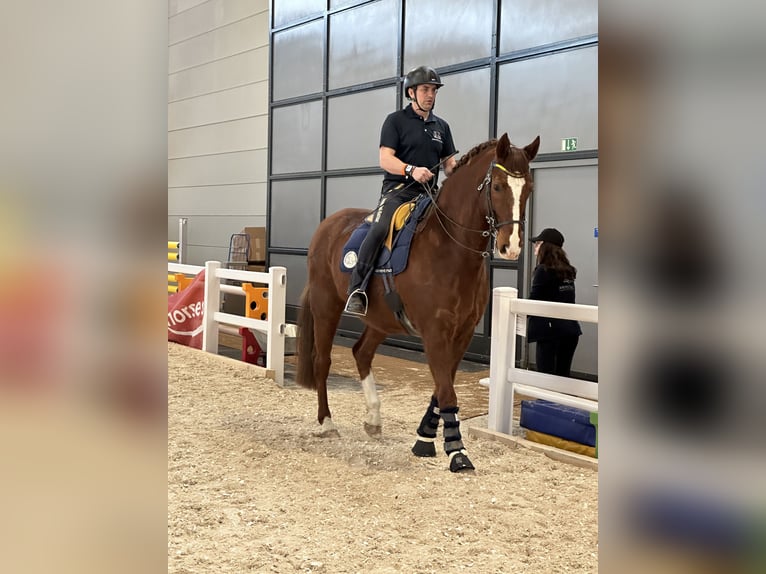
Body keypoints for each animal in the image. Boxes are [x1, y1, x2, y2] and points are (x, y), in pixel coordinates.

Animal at [295, 133, 540, 472]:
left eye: (528, 187)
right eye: (498, 187)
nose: (511, 247)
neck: (449, 247)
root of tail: (328, 224)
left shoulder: (462, 334)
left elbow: (442, 387)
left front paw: (424, 438)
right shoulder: (435, 332)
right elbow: (447, 392)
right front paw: (457, 451)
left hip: (380, 319)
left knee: (361, 353)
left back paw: (373, 419)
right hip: (326, 308)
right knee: (323, 361)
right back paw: (327, 423)